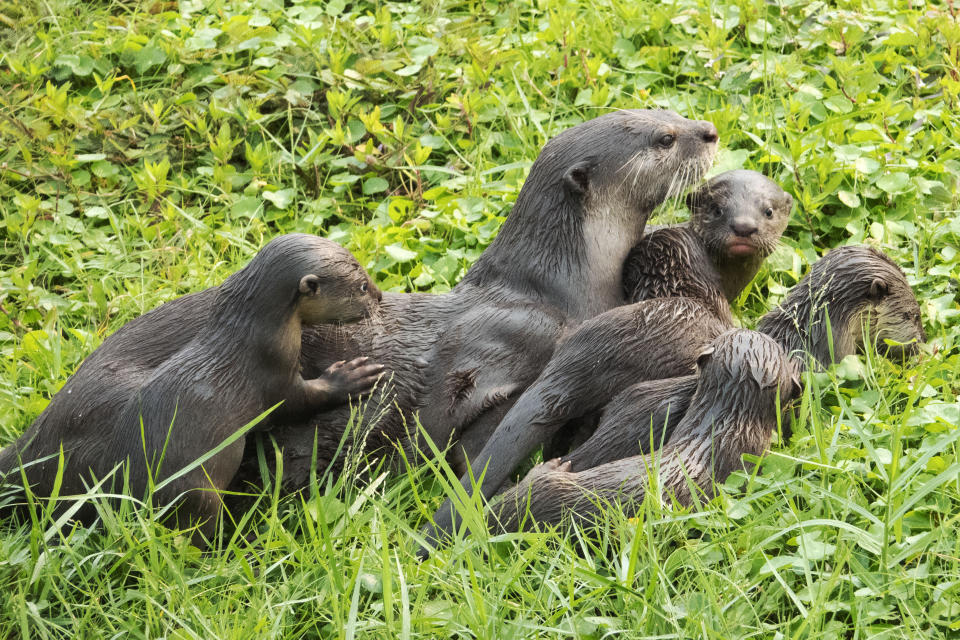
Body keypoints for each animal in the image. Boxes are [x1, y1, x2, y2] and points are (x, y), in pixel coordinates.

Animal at [0, 234, 382, 536]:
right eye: (362, 285)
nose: (379, 296)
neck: (248, 332)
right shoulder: (274, 377)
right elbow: (302, 400)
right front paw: (350, 377)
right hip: (196, 496)